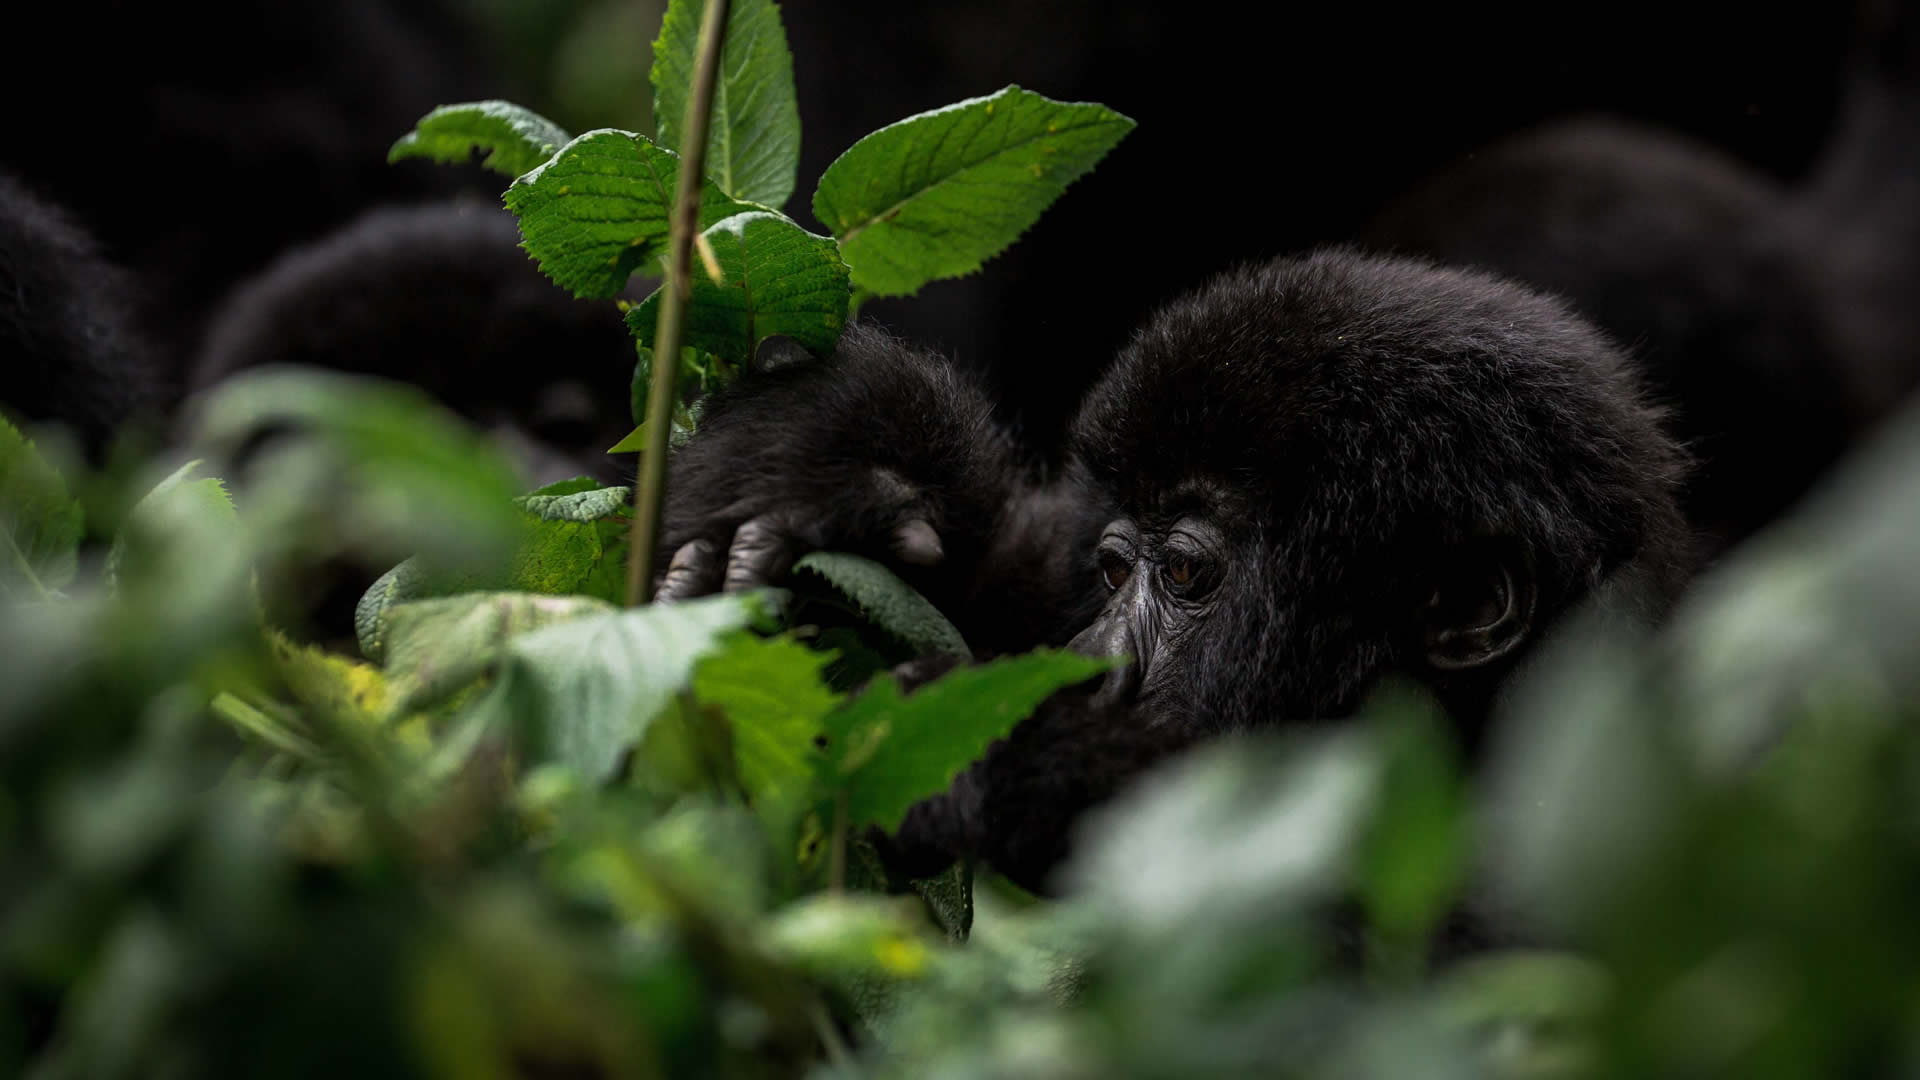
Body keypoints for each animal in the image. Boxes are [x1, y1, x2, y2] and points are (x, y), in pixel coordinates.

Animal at [656, 251, 1697, 891]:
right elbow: (1004, 567)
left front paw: (986, 750)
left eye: (1189, 577)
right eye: (1116, 571)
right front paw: (824, 452)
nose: (1092, 658)